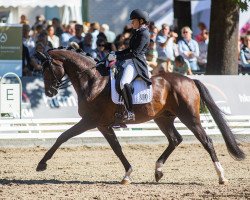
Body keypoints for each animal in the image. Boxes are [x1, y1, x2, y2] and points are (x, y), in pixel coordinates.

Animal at [36, 49, 245, 185]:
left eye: (47, 70)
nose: (49, 92)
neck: (93, 81)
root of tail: (190, 80)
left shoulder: (90, 121)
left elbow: (62, 136)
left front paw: (41, 164)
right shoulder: (103, 125)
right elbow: (117, 148)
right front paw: (127, 175)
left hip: (190, 117)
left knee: (206, 141)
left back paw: (221, 177)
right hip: (163, 118)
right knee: (175, 139)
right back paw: (158, 171)